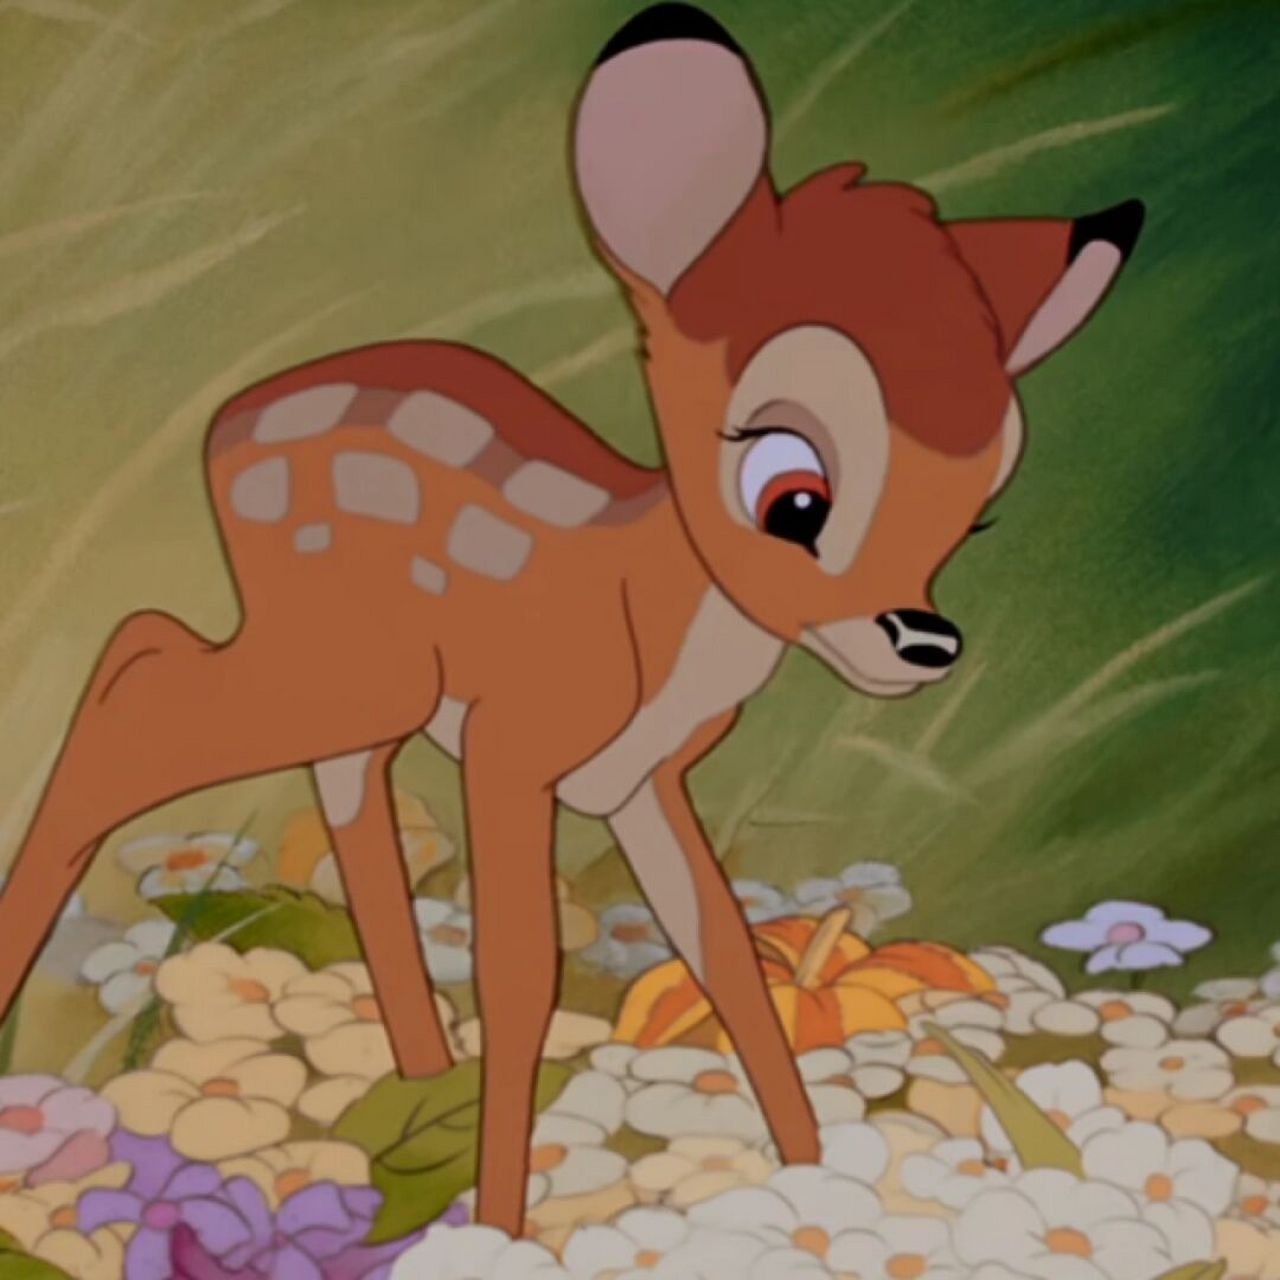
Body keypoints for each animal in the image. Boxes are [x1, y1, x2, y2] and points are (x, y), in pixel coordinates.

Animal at [0, 1, 1144, 1237]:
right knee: (137, 666)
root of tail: (224, 424)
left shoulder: (645, 780)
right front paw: (503, 1226)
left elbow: (722, 949)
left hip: (361, 682)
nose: (923, 640)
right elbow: (525, 973)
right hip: (349, 668)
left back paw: (412, 1080)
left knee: (312, 773)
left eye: (978, 512)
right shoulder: (514, 745)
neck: (649, 609)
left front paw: (807, 1172)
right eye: (794, 494)